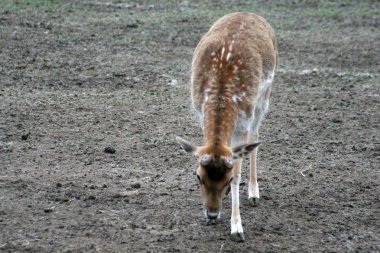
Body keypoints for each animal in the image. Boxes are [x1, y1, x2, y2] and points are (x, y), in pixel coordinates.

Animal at [177, 12, 278, 242]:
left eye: (228, 178)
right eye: (198, 176)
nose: (212, 214)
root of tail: (249, 13)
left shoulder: (243, 123)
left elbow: (239, 173)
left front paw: (237, 228)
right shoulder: (200, 113)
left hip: (264, 97)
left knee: (256, 136)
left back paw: (254, 193)